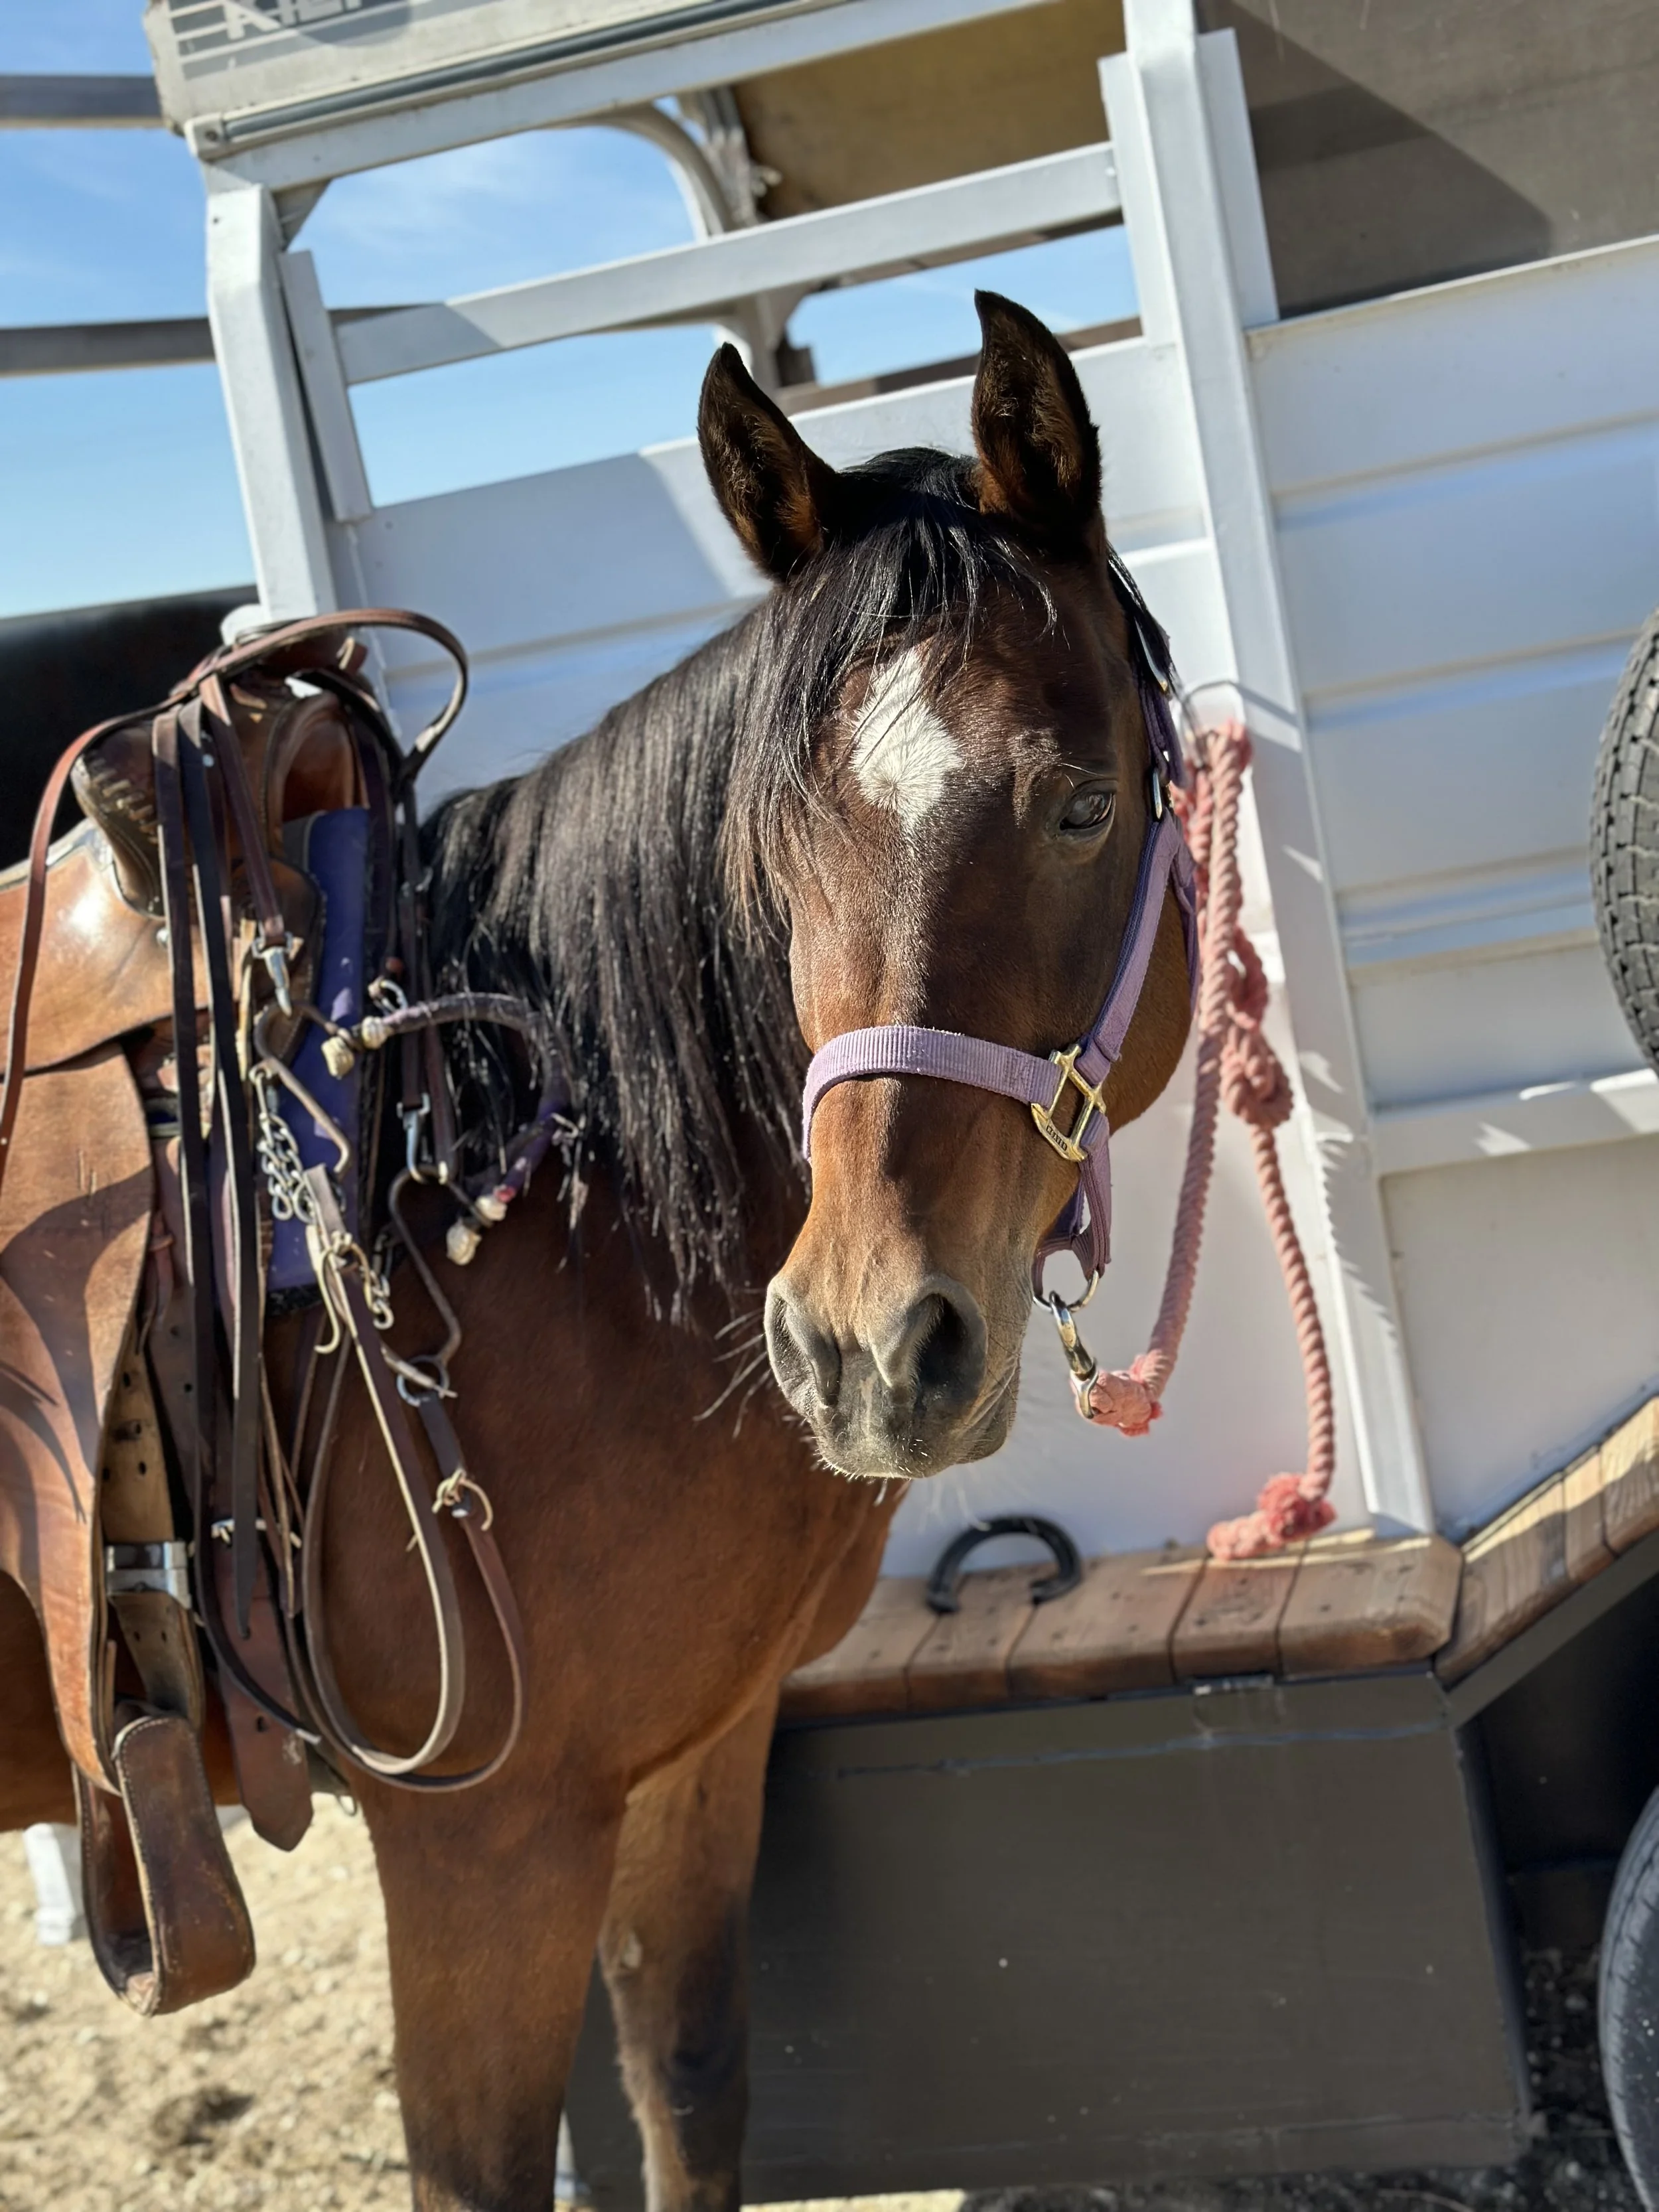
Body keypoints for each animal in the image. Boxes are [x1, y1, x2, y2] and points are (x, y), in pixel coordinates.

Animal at [0, 291, 1193, 2212]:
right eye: (779, 841)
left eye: (1084, 805)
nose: (865, 1346)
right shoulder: (487, 1843)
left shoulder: (694, 1755)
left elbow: (688, 2083)